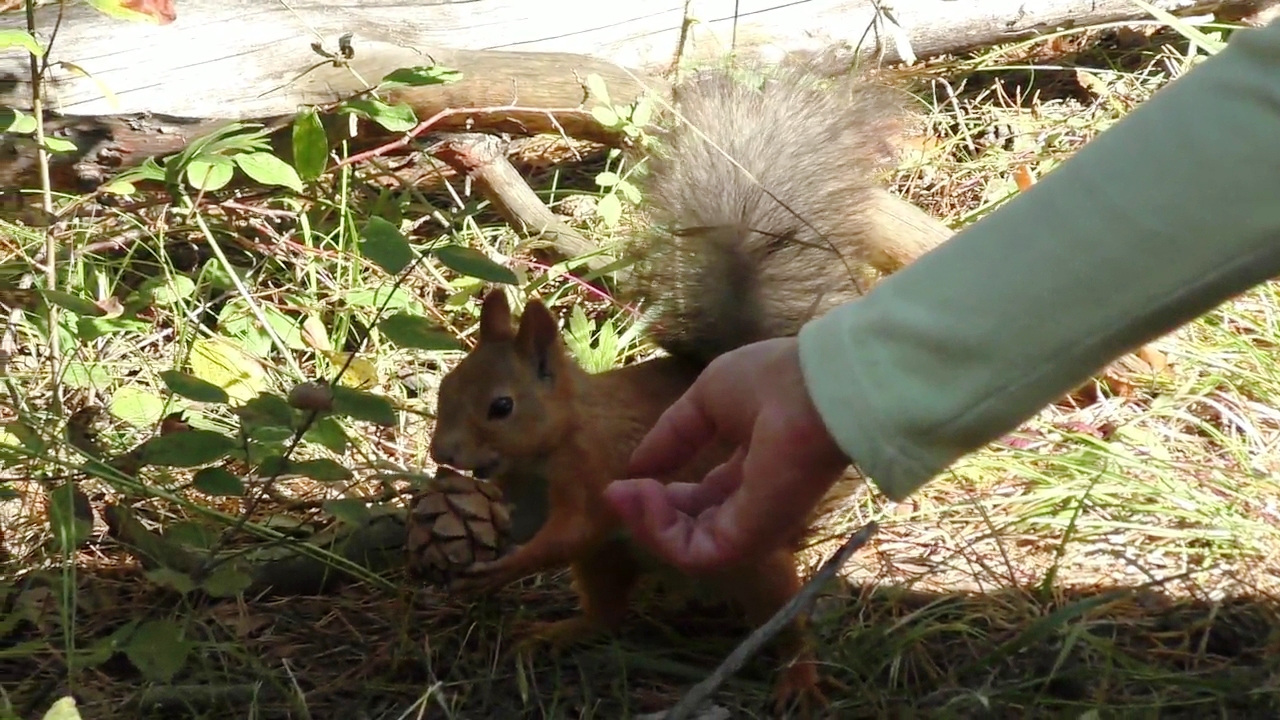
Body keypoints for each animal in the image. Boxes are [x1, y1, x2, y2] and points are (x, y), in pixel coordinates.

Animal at [424, 60, 947, 712]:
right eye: (446, 388)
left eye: (502, 406)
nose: (443, 452)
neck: (553, 446)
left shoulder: (596, 473)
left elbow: (570, 532)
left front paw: (503, 567)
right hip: (611, 562)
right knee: (607, 615)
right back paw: (559, 631)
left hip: (753, 562)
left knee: (785, 621)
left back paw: (797, 677)